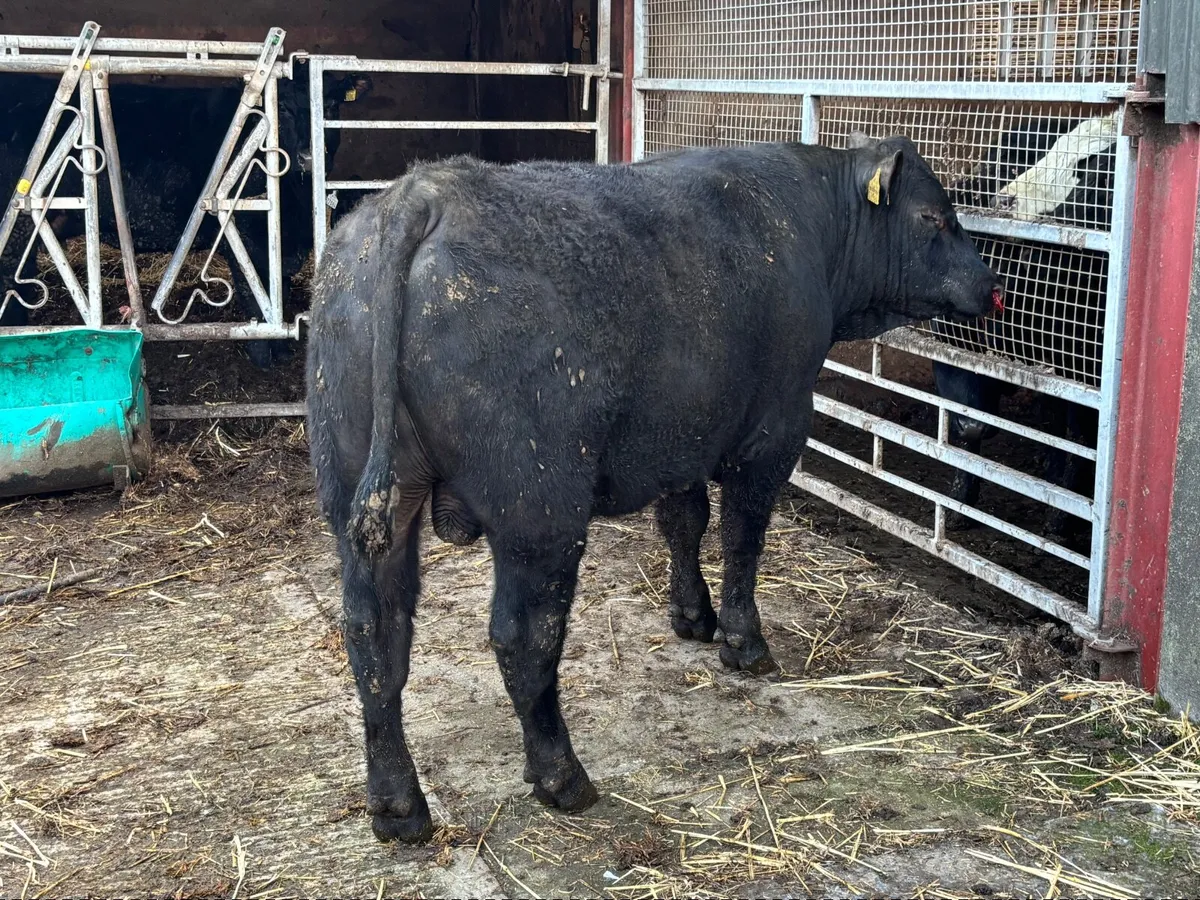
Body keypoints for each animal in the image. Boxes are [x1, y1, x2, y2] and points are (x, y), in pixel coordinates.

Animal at [0, 65, 371, 367]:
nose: (309, 157)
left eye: (331, 106)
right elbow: (256, 291)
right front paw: (264, 353)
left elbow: (279, 286)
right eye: (283, 110)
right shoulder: (242, 229)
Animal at [305, 133, 1004, 843]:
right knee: (524, 637)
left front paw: (692, 615)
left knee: (374, 637)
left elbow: (684, 521)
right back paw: (562, 776)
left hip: (366, 503)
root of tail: (423, 191)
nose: (993, 286)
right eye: (932, 216)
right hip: (540, 511)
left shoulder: (684, 432)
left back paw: (398, 804)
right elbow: (742, 537)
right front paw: (743, 640)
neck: (813, 221)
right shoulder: (774, 432)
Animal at [929, 114, 1114, 535]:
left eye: (1095, 167)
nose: (1005, 199)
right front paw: (959, 499)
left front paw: (1059, 519)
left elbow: (1072, 441)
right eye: (1018, 161)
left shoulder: (1076, 376)